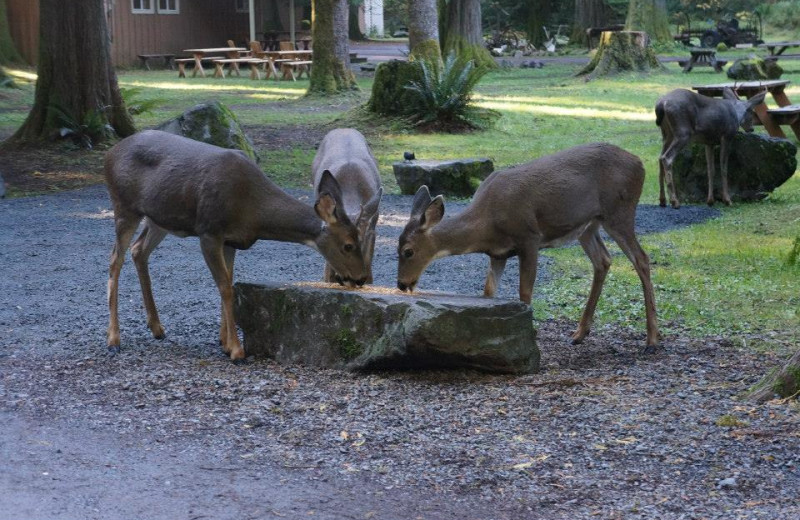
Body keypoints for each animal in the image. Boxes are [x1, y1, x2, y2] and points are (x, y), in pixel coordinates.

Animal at [103, 128, 368, 360]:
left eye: (359, 238)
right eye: (348, 245)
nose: (361, 278)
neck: (253, 211)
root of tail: (111, 153)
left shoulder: (231, 240)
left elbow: (228, 282)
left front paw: (225, 342)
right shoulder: (209, 231)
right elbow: (225, 287)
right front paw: (237, 351)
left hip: (160, 218)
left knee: (139, 250)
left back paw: (157, 327)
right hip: (124, 206)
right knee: (115, 259)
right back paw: (114, 339)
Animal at [396, 144, 660, 352]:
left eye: (408, 251)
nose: (401, 283)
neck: (486, 224)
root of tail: (640, 164)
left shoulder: (529, 237)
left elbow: (525, 293)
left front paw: (530, 337)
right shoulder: (498, 254)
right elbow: (488, 292)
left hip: (619, 212)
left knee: (641, 259)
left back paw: (652, 340)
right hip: (588, 226)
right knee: (603, 260)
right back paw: (579, 334)